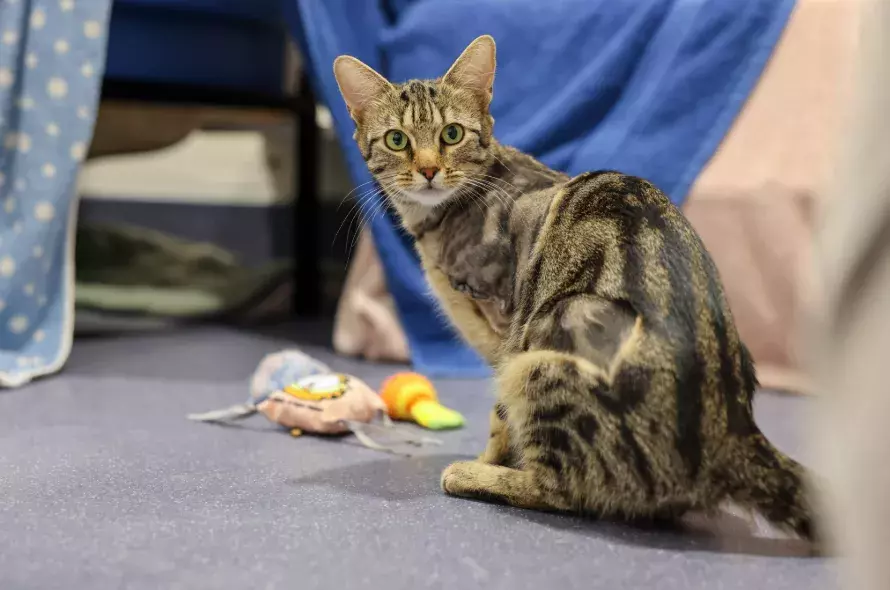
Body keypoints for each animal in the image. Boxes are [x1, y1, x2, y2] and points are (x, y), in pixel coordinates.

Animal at [332, 33, 812, 540]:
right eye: (397, 140)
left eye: (452, 134)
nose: (427, 170)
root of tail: (733, 433)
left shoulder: (509, 330)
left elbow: (500, 418)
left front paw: (488, 458)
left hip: (549, 342)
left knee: (567, 491)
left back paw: (475, 475)